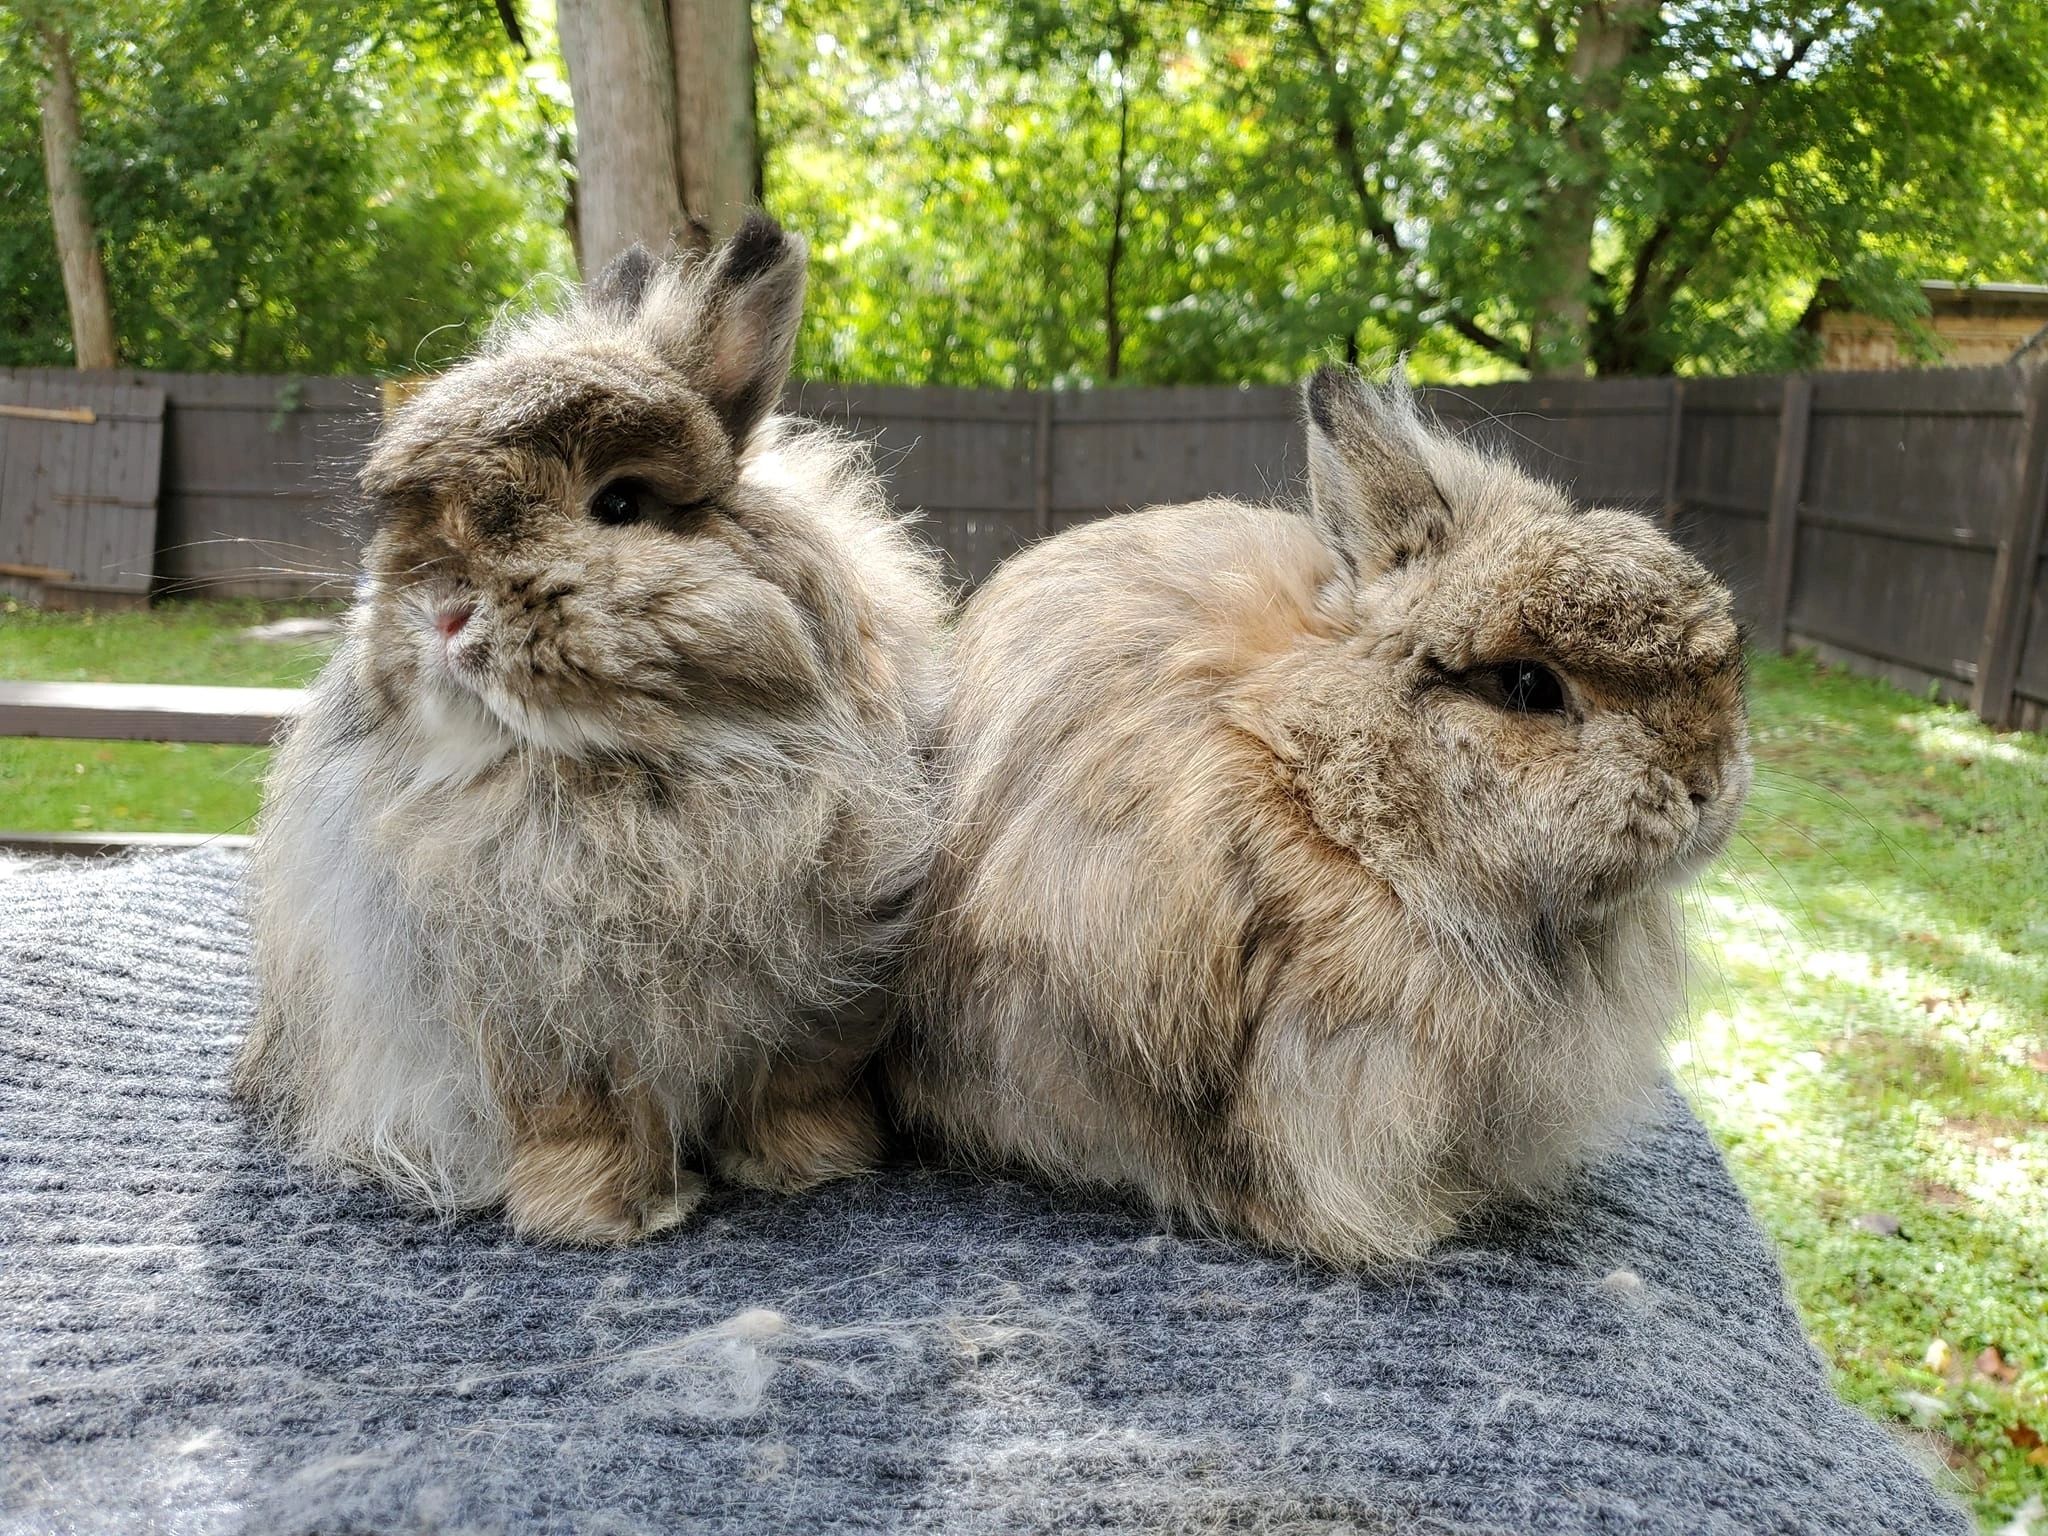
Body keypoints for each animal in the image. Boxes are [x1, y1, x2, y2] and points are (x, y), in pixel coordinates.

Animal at [235, 219, 946, 1253]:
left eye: (618, 506)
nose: (441, 609)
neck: (623, 769)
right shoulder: (533, 1025)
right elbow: (580, 1121)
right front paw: (604, 1218)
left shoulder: (829, 994)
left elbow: (792, 1089)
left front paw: (806, 1169)